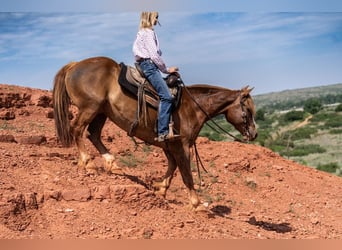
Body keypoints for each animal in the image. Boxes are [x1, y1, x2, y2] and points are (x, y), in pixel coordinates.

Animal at [52, 56, 256, 209]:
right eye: (248, 110)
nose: (254, 134)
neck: (192, 107)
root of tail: (75, 65)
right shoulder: (181, 145)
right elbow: (185, 172)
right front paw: (196, 203)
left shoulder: (168, 144)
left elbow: (172, 167)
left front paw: (161, 188)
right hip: (90, 108)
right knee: (77, 129)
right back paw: (87, 162)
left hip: (101, 112)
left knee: (92, 134)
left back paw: (111, 164)